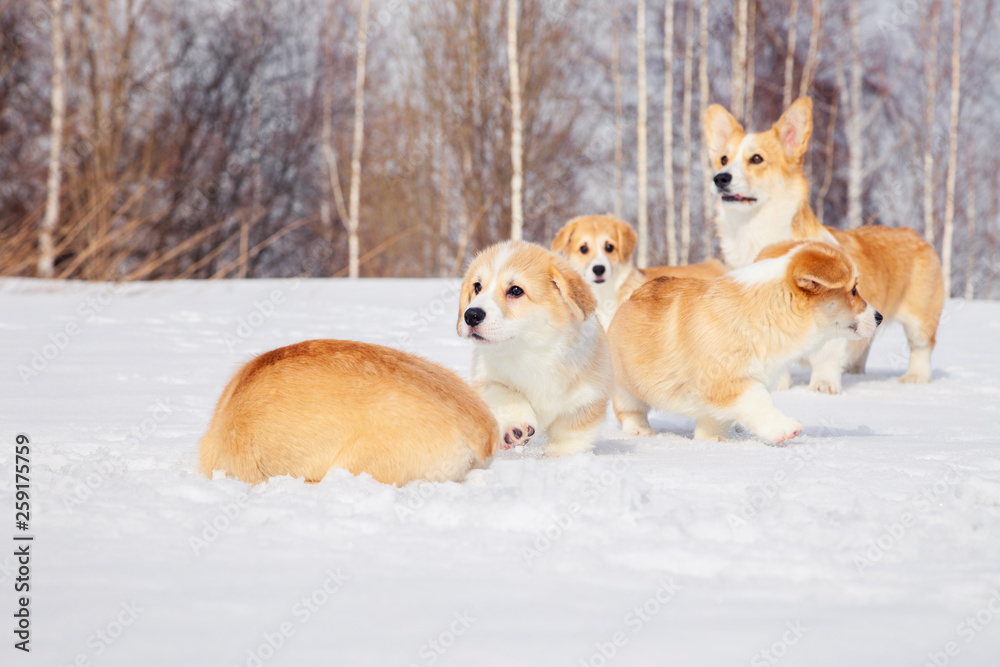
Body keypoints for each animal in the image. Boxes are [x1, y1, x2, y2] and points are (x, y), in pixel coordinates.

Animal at [458, 241, 612, 460]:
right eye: (477, 286)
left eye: (516, 290)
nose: (471, 315)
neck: (531, 352)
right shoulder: (487, 379)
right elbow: (505, 394)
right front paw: (516, 427)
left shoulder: (587, 398)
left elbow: (571, 434)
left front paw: (558, 455)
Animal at [608, 240, 884, 444]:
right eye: (853, 290)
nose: (879, 317)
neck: (767, 315)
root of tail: (629, 298)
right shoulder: (728, 380)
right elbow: (759, 400)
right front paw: (784, 428)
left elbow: (716, 418)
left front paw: (714, 439)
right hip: (626, 386)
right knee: (629, 409)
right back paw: (640, 430)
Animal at [704, 96, 944, 394]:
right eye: (723, 159)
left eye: (756, 159)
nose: (720, 178)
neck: (755, 232)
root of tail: (912, 233)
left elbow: (827, 354)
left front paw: (823, 388)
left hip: (919, 319)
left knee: (921, 347)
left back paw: (914, 378)